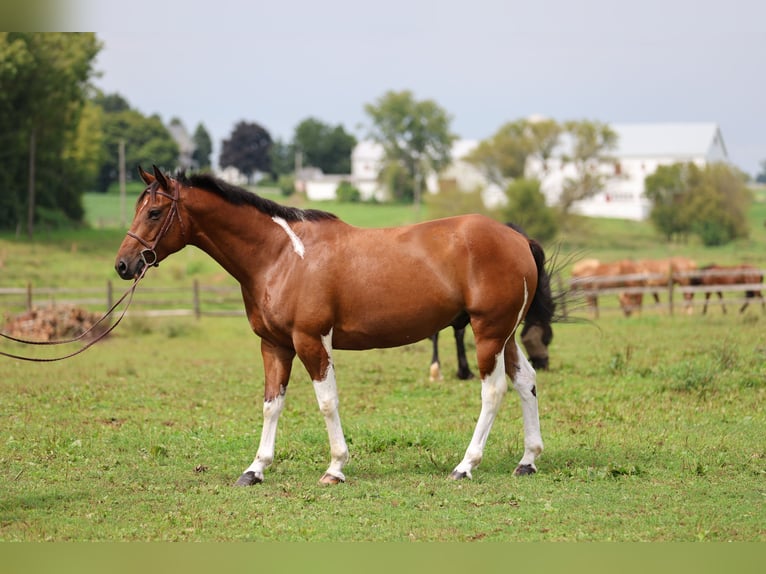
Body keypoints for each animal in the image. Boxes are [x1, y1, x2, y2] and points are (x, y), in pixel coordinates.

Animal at [115, 166, 555, 485]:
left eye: (154, 212)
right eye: (138, 209)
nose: (123, 264)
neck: (280, 256)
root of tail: (516, 237)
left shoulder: (311, 341)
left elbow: (327, 402)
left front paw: (336, 468)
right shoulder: (274, 345)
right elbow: (271, 403)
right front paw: (255, 469)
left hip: (488, 334)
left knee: (493, 391)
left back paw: (465, 466)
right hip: (505, 336)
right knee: (526, 381)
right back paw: (527, 460)